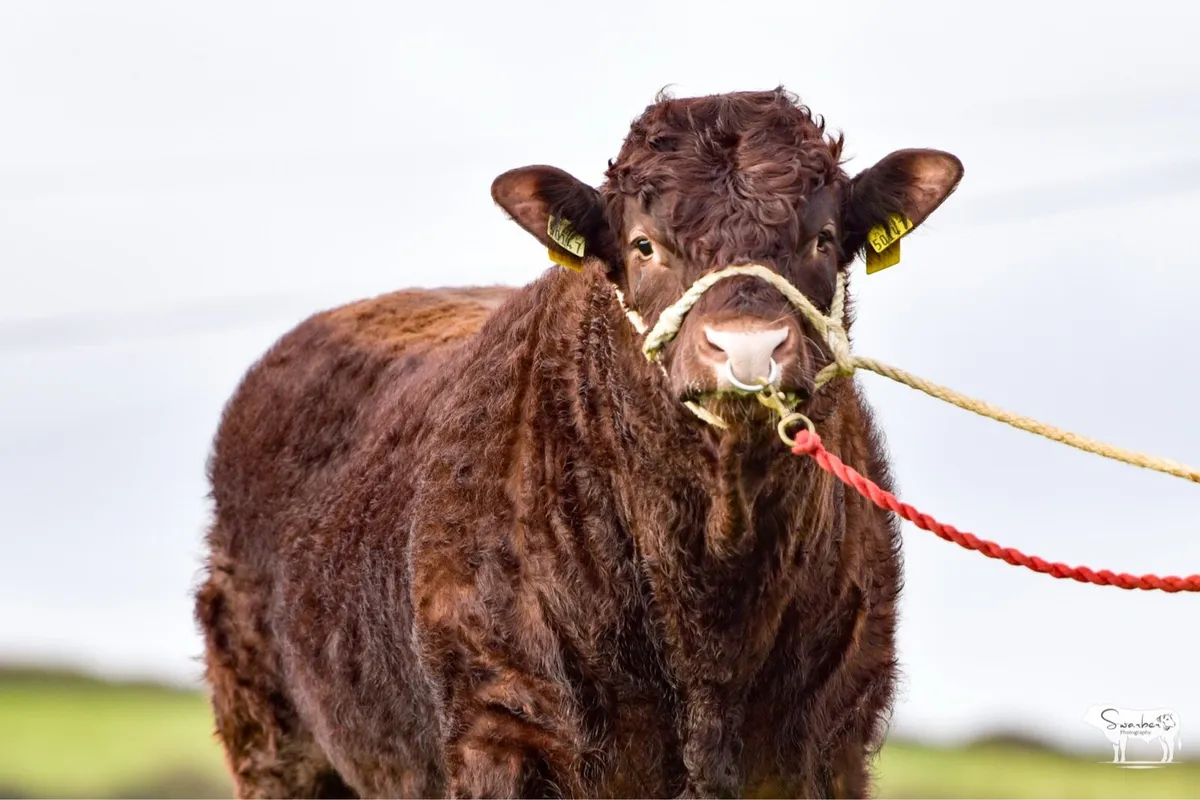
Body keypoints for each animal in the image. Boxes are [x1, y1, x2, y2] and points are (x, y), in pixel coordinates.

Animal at [193, 87, 964, 798]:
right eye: (644, 245)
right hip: (273, 742)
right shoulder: (505, 723)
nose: (747, 350)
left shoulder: (830, 738)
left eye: (823, 238)